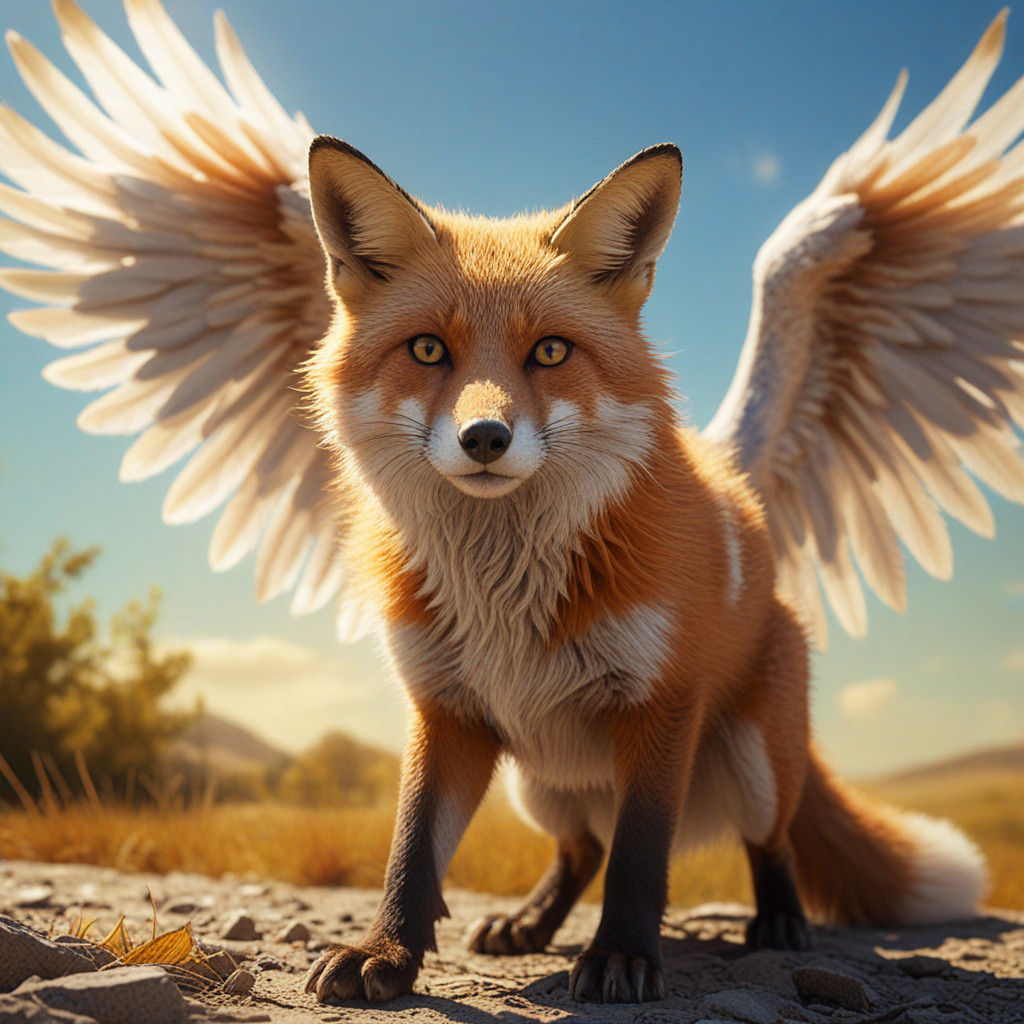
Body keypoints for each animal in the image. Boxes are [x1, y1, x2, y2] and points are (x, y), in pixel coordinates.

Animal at [298, 137, 986, 1004]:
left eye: (550, 351)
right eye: (428, 349)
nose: (484, 438)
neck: (503, 595)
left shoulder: (662, 703)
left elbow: (639, 854)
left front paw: (623, 956)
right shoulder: (446, 710)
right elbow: (412, 849)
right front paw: (385, 952)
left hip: (758, 764)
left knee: (769, 841)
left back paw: (779, 921)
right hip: (539, 784)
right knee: (579, 849)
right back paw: (529, 922)